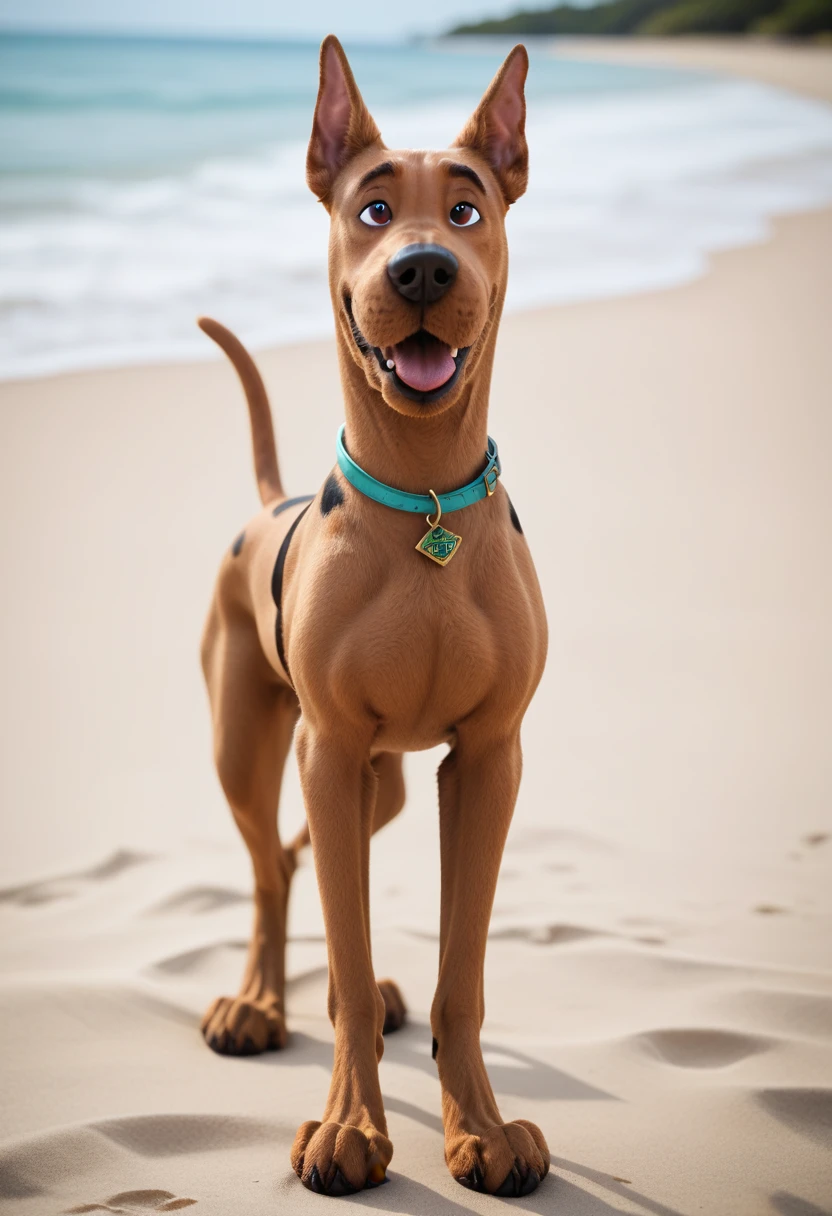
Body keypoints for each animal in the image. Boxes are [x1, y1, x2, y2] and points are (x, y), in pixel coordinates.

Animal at [197, 35, 549, 1196]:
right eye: (372, 207)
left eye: (470, 206)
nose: (424, 268)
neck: (423, 493)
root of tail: (266, 507)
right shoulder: (331, 743)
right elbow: (343, 961)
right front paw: (351, 1126)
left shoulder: (486, 759)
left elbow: (462, 970)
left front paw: (480, 1126)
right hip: (256, 743)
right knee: (273, 867)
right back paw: (258, 1002)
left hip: (381, 777)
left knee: (309, 852)